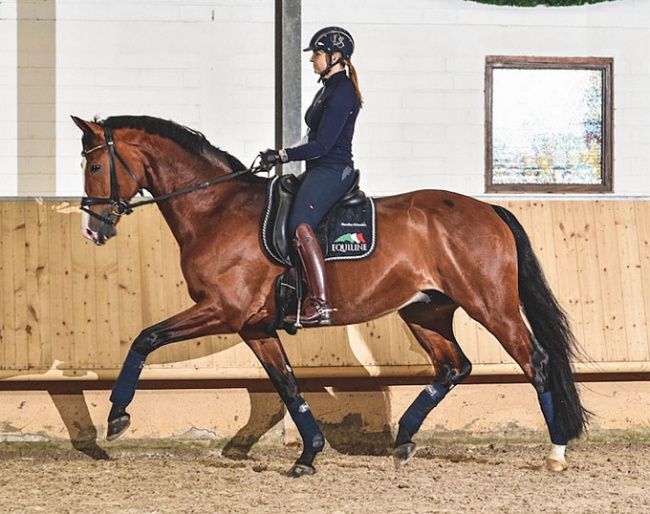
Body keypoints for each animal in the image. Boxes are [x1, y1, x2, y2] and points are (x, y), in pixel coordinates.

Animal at [72, 115, 588, 476]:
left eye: (95, 164)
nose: (93, 230)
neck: (214, 209)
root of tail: (489, 209)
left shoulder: (223, 310)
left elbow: (146, 338)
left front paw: (117, 416)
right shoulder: (253, 326)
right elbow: (287, 386)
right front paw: (309, 454)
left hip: (491, 306)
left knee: (535, 361)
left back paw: (556, 453)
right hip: (427, 311)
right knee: (454, 366)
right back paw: (403, 440)